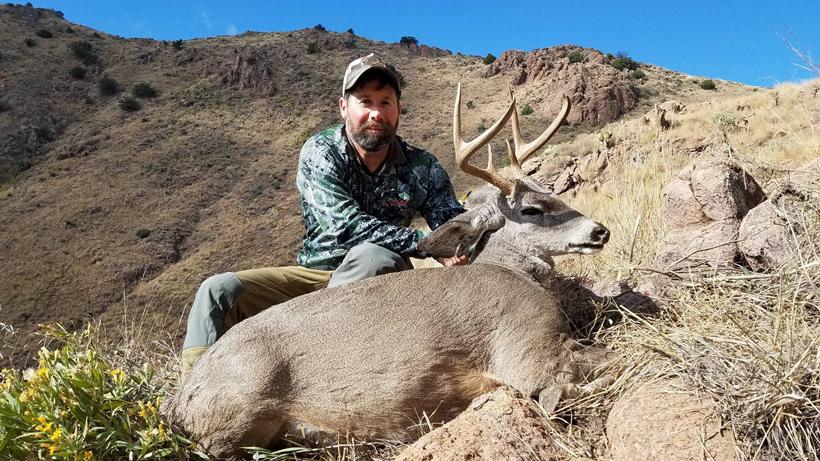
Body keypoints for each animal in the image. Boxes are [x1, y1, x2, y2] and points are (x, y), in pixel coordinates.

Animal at [167, 84, 613, 458]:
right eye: (533, 210)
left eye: (553, 192)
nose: (600, 230)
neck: (513, 272)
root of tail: (181, 402)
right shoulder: (526, 351)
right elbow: (592, 372)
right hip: (237, 415)